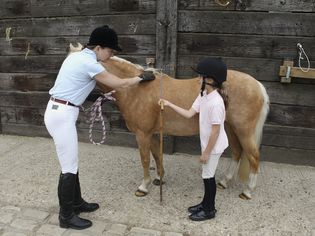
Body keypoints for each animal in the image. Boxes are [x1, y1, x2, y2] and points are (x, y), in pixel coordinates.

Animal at [70, 42, 270, 199]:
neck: (135, 89)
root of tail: (258, 85)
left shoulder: (142, 134)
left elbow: (145, 159)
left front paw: (143, 186)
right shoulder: (151, 134)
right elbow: (157, 156)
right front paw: (159, 179)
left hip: (243, 129)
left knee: (254, 157)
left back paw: (248, 191)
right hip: (229, 127)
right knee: (237, 152)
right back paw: (224, 181)